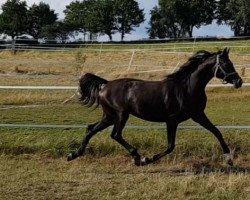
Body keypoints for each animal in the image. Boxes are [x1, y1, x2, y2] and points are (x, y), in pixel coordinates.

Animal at [68, 47, 242, 166]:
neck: (187, 88)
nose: (239, 81)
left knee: (91, 129)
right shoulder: (172, 121)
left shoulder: (198, 115)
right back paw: (137, 157)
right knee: (115, 134)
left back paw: (74, 154)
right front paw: (148, 159)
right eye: (226, 64)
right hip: (121, 114)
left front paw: (229, 158)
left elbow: (216, 131)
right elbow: (170, 146)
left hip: (109, 116)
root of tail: (105, 84)